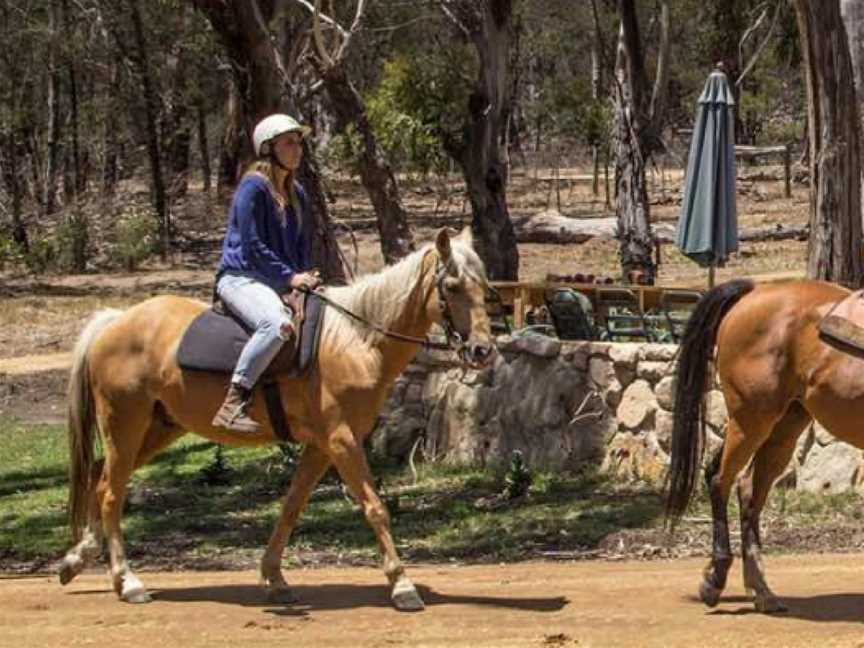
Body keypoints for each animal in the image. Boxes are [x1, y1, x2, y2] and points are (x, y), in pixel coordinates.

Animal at [59, 229, 492, 612]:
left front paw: (274, 577)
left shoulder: (320, 445)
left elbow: (291, 506)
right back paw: (128, 580)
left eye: (484, 286)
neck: (355, 340)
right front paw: (402, 586)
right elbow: (374, 507)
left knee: (99, 476)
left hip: (157, 427)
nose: (482, 350)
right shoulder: (342, 440)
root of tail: (115, 321)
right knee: (111, 492)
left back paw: (78, 558)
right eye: (452, 286)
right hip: (125, 424)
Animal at [660, 278, 856, 612]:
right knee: (721, 480)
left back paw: (761, 591)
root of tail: (754, 289)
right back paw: (715, 580)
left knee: (749, 490)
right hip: (750, 421)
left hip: (783, 429)